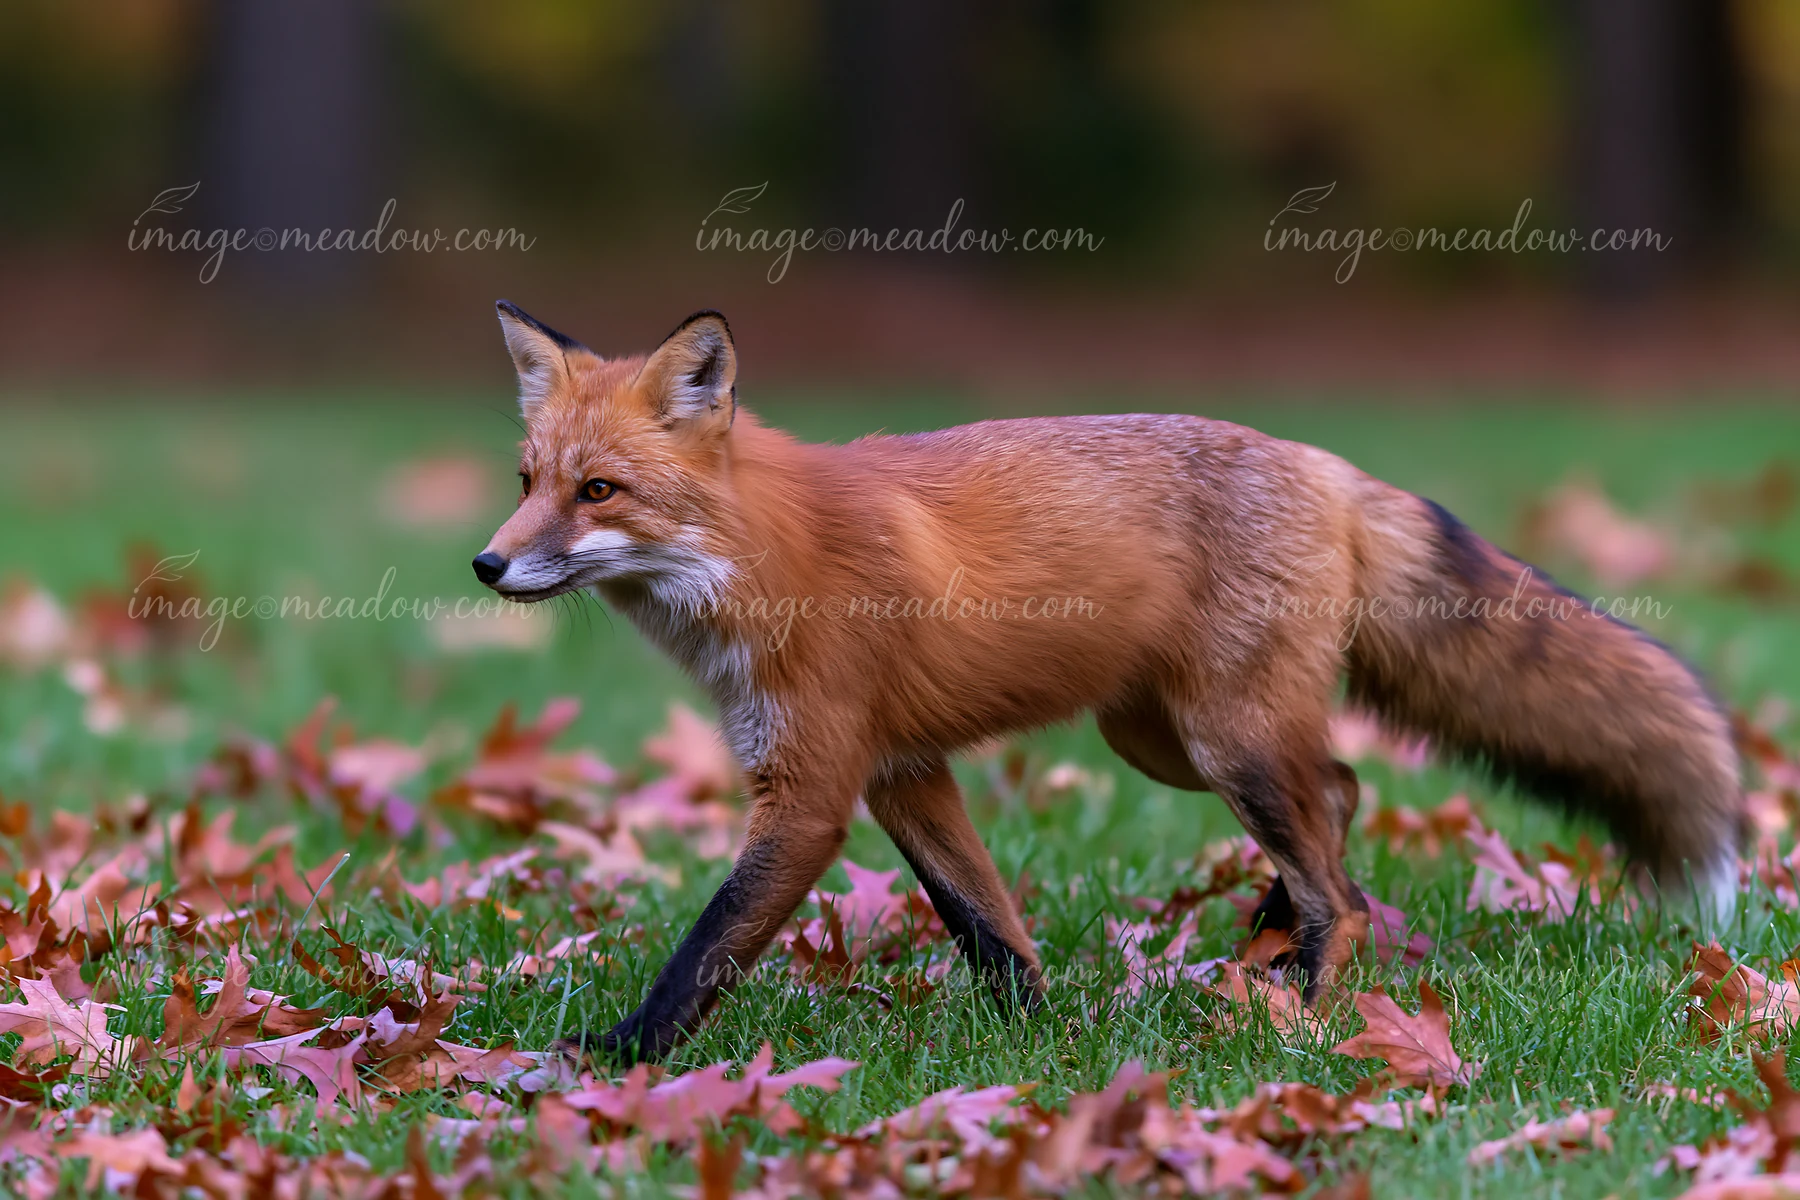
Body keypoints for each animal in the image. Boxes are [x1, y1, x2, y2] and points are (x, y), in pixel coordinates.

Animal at [474, 300, 1744, 1063]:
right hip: (1167, 741)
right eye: (528, 481)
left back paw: (1298, 1004)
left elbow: (711, 942)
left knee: (1338, 870)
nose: (485, 564)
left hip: (1225, 741)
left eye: (599, 492)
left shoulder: (816, 791)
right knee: (1341, 793)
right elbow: (985, 921)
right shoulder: (902, 773)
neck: (762, 556)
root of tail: (1324, 463)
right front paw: (1038, 1041)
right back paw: (1266, 943)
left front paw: (620, 1055)